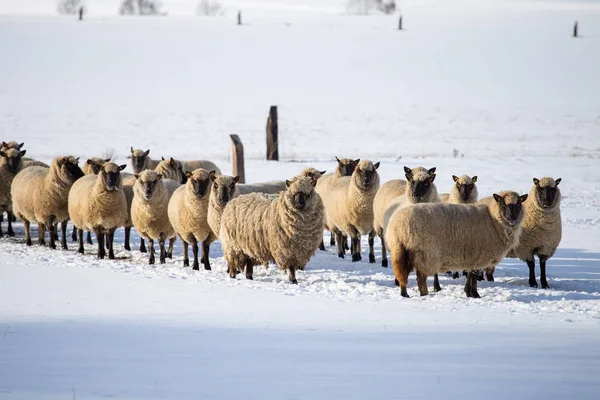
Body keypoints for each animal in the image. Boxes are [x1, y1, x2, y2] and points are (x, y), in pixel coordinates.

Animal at [386, 192, 528, 298]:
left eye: (518, 205)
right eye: (503, 204)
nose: (512, 218)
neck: (493, 219)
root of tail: (398, 227)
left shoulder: (473, 256)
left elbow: (470, 275)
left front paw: (468, 292)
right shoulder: (480, 255)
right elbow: (474, 277)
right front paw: (475, 294)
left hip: (402, 250)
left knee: (403, 274)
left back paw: (404, 294)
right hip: (425, 253)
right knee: (420, 277)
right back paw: (424, 294)